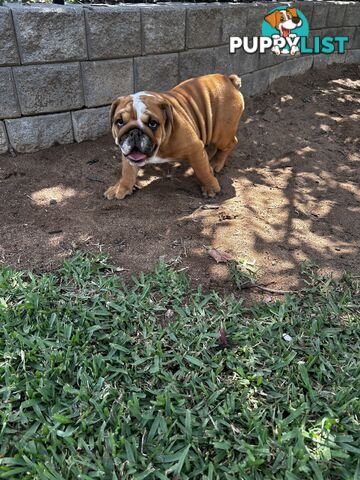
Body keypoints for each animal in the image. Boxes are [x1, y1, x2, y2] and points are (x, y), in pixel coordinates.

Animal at [104, 72, 245, 200]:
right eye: (120, 122)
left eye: (152, 123)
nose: (134, 132)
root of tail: (229, 80)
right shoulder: (128, 155)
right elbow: (127, 171)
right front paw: (120, 187)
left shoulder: (194, 147)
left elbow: (202, 170)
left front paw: (210, 186)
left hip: (222, 132)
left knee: (231, 143)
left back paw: (216, 163)